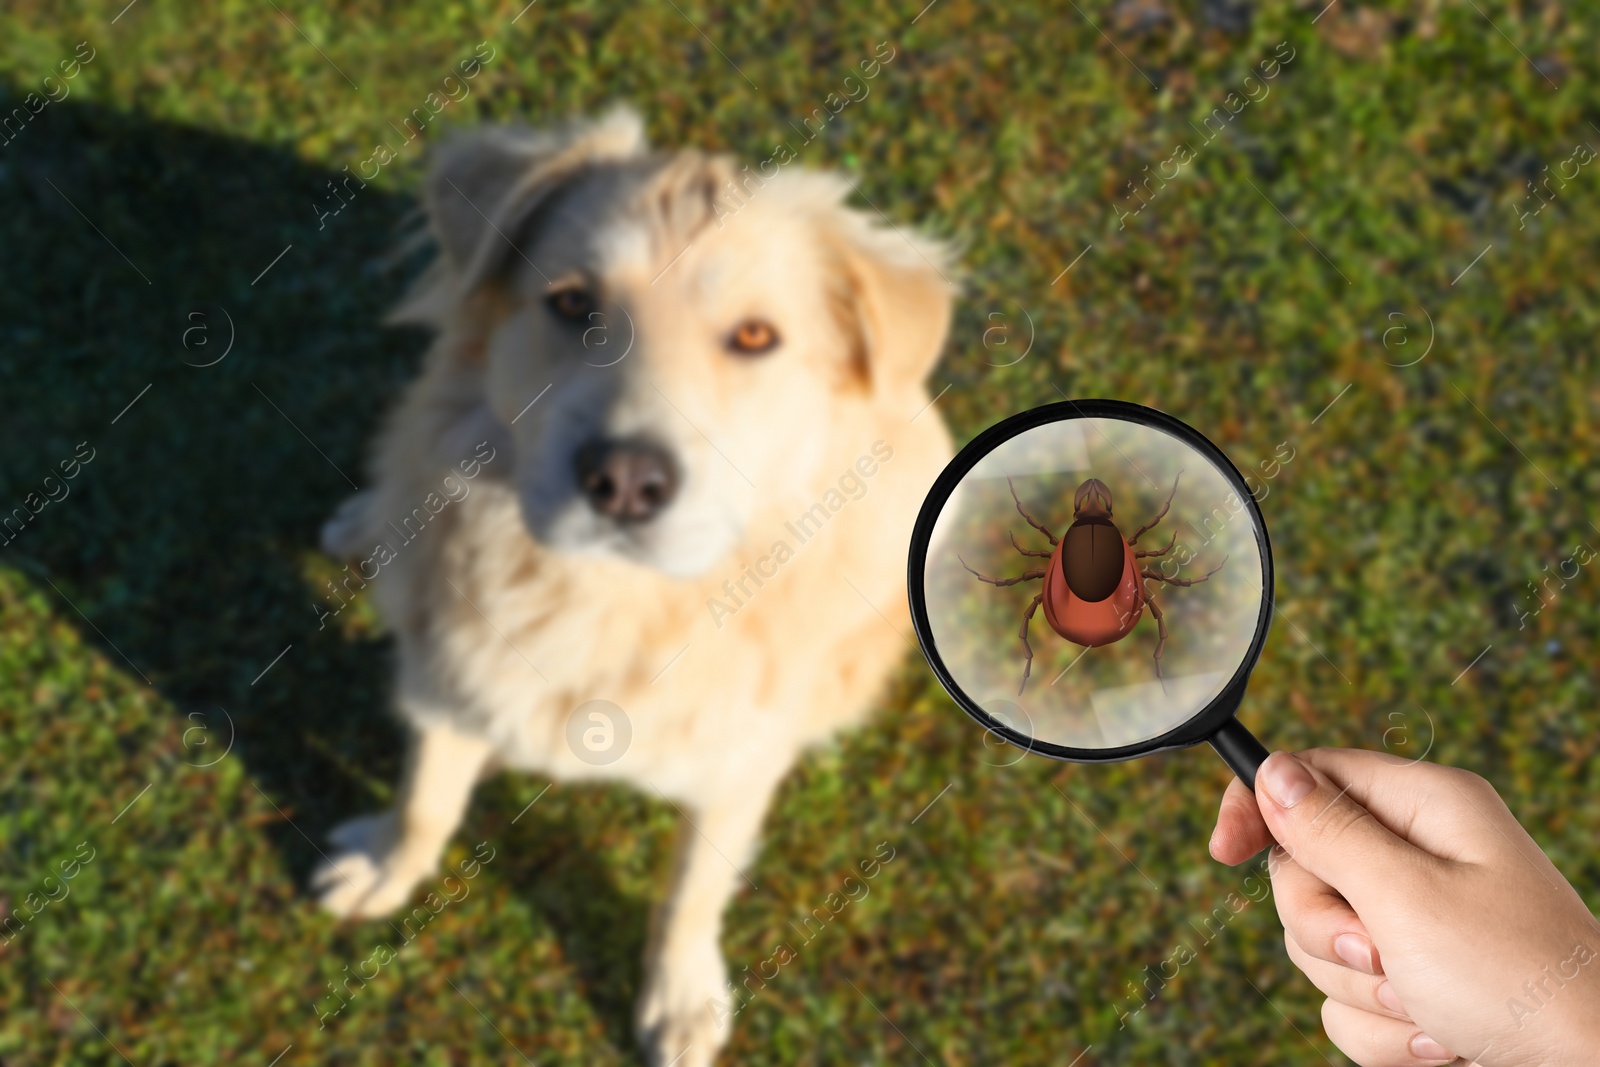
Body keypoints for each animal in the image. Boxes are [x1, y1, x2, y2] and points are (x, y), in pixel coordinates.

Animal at [318, 102, 953, 1067]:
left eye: (756, 337)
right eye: (573, 303)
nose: (622, 481)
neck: (608, 598)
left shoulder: (738, 769)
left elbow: (693, 891)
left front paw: (681, 998)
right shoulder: (446, 679)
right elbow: (426, 797)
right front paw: (389, 864)